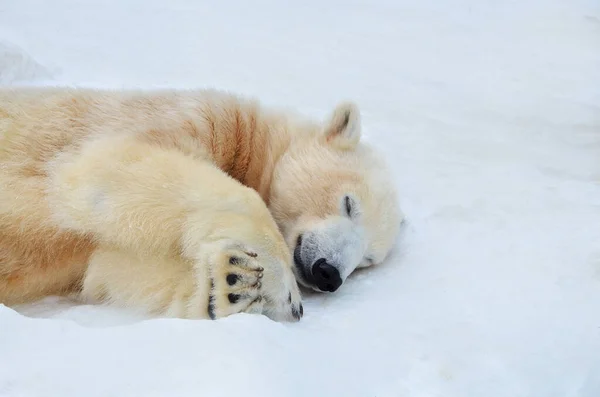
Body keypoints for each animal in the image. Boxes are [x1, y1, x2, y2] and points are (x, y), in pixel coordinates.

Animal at [1, 86, 404, 322]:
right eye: (348, 203)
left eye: (367, 260)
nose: (330, 274)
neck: (253, 142)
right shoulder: (198, 117)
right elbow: (109, 160)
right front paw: (282, 287)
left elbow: (110, 266)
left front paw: (234, 284)